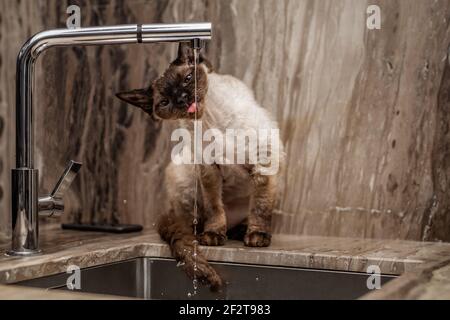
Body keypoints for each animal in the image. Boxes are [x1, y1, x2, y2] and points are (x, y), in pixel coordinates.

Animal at [116, 42, 284, 290]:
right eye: (165, 102)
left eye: (187, 79)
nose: (183, 98)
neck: (212, 120)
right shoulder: (208, 170)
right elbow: (214, 207)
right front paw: (214, 235)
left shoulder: (263, 160)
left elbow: (260, 207)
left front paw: (257, 236)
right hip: (181, 174)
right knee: (189, 222)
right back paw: (203, 234)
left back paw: (241, 231)